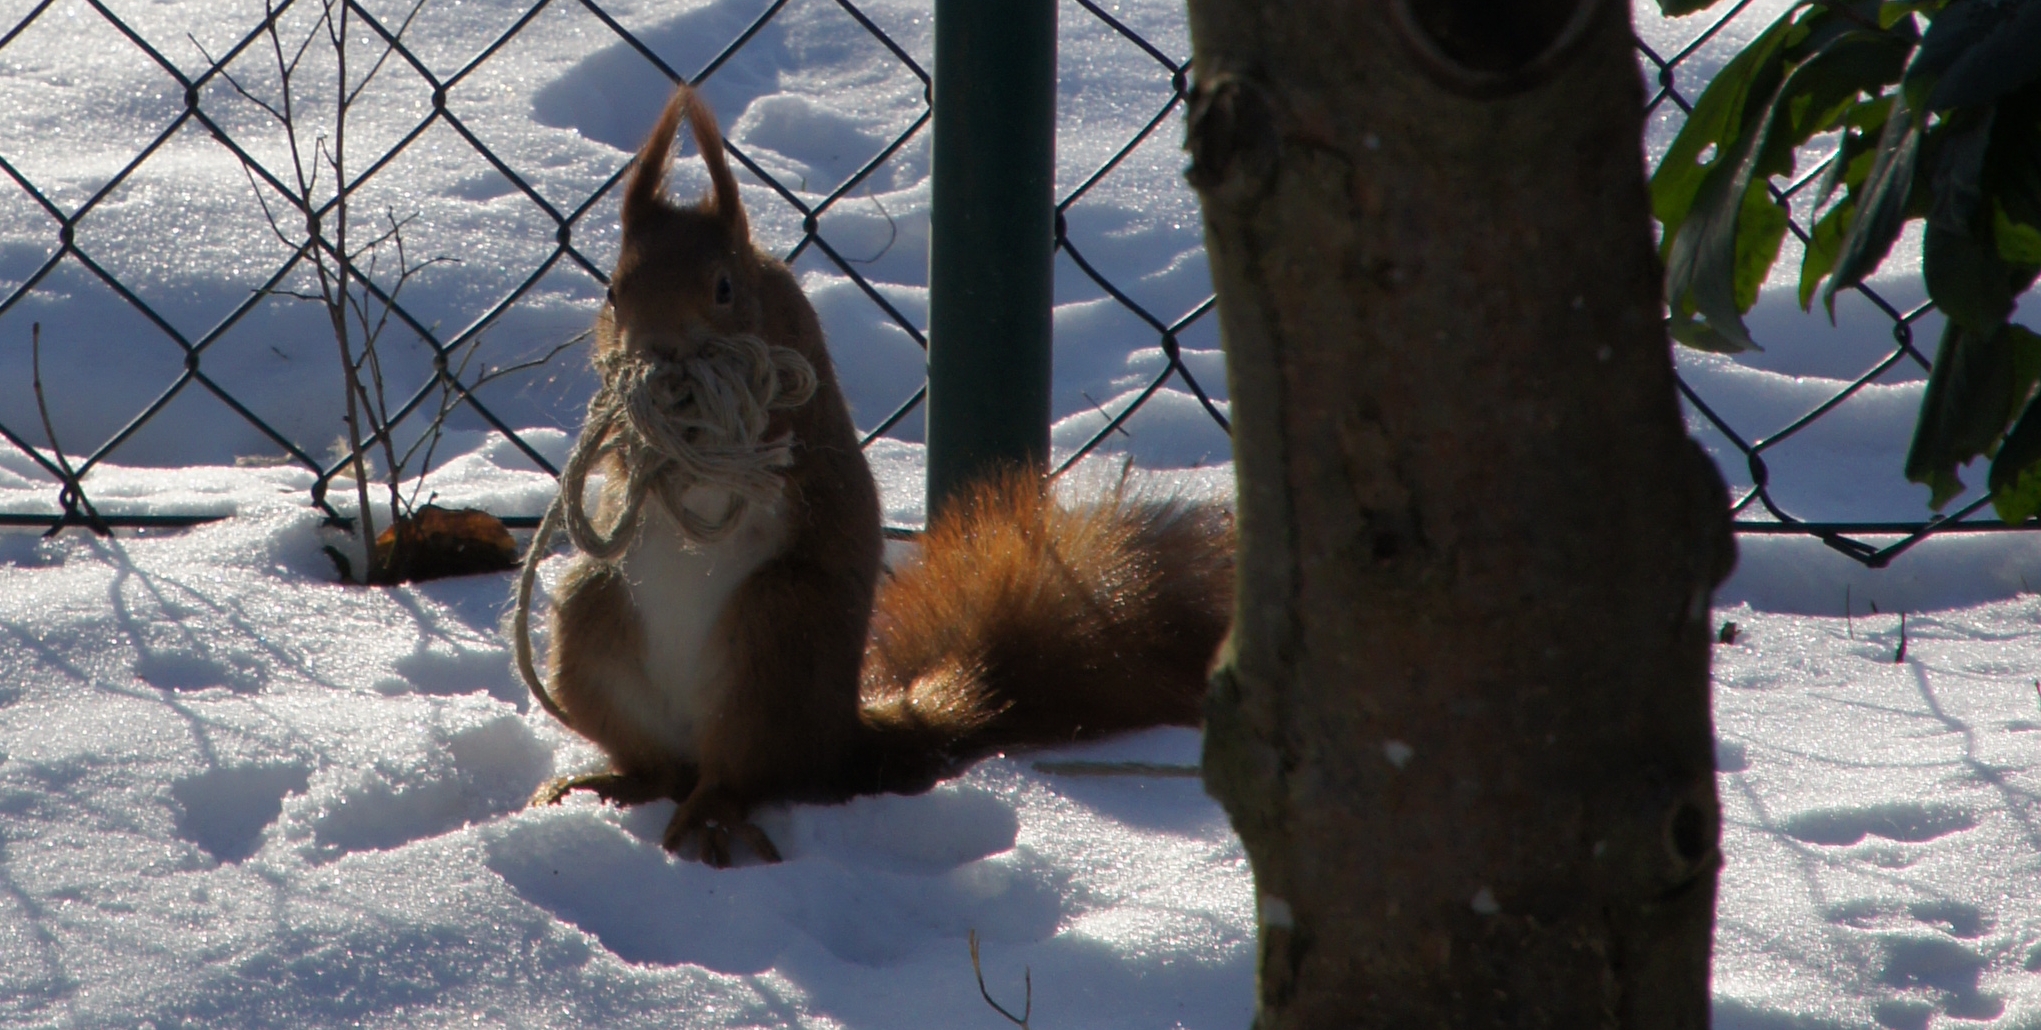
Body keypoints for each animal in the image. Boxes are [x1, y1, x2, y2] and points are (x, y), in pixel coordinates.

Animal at [522, 84, 1224, 864]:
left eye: (724, 288)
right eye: (613, 294)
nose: (660, 349)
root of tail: (840, 737)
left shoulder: (801, 382)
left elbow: (777, 438)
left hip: (775, 635)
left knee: (744, 773)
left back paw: (713, 812)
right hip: (592, 620)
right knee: (660, 767)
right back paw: (607, 785)